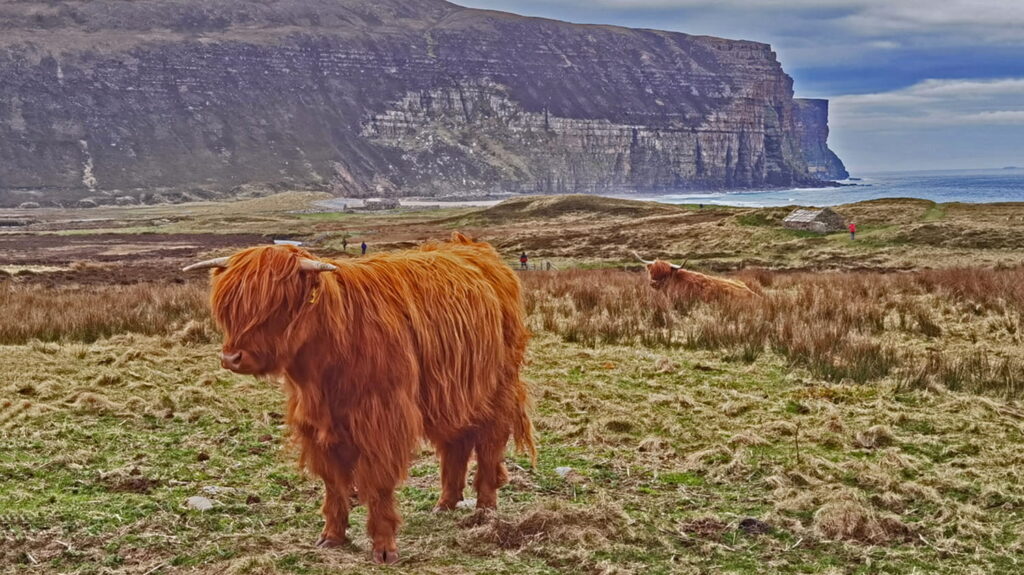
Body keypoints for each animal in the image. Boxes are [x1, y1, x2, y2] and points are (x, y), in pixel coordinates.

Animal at [183, 232, 535, 564]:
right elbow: (334, 484)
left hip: (497, 388)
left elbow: (377, 484)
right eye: (229, 308)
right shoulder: (318, 425)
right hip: (450, 395)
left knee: (489, 444)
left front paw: (384, 549)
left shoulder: (381, 420)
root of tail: (474, 248)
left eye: (276, 305)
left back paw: (485, 508)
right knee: (456, 445)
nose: (231, 358)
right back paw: (445, 504)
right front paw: (332, 536)